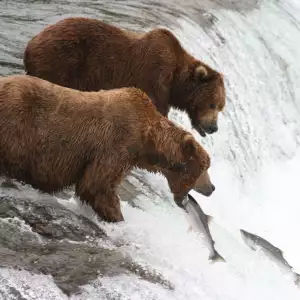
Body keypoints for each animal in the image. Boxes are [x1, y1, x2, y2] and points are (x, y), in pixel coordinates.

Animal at [0, 74, 216, 221]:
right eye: (205, 168)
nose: (212, 188)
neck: (147, 141)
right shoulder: (115, 144)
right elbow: (97, 185)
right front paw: (117, 217)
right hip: (16, 126)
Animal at [22, 17, 225, 137]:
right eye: (212, 104)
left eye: (221, 107)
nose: (213, 128)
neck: (176, 81)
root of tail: (32, 41)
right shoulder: (155, 77)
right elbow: (157, 111)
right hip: (63, 60)